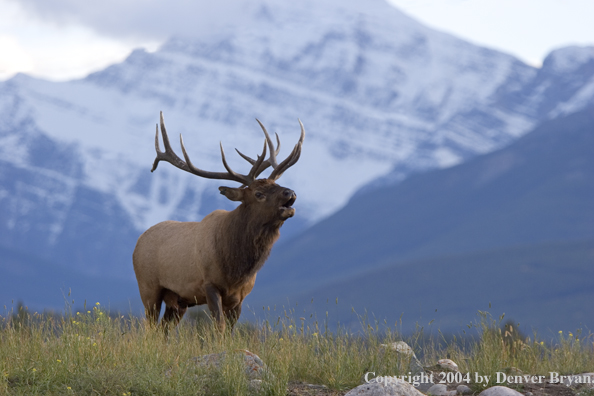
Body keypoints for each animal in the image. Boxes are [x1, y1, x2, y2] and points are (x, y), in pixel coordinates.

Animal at [132, 111, 302, 332]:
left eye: (276, 183)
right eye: (258, 193)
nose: (290, 192)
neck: (236, 268)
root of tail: (137, 243)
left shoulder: (240, 297)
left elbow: (229, 331)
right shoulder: (209, 285)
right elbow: (218, 328)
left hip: (178, 300)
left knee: (163, 329)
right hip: (148, 287)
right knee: (150, 327)